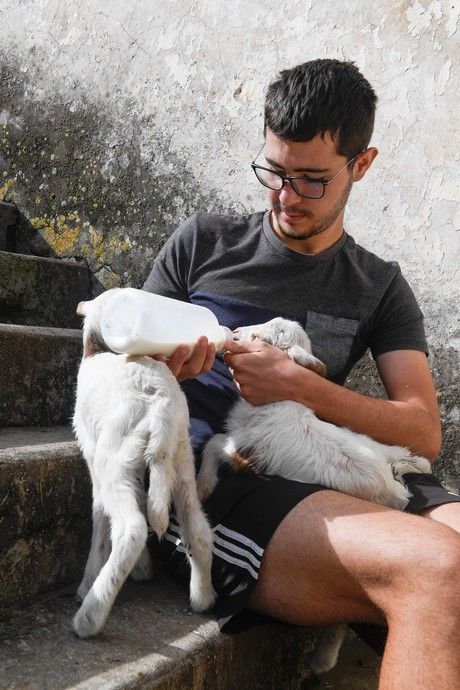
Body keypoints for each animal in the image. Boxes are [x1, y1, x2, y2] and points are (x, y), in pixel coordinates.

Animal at [72, 288, 216, 636]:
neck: (98, 350)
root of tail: (160, 402)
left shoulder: (93, 457)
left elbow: (99, 517)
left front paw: (88, 581)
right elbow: (139, 497)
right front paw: (144, 570)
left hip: (114, 459)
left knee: (132, 529)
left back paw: (89, 615)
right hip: (180, 459)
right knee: (198, 531)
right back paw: (203, 598)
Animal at [198, 318, 432, 672]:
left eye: (260, 336)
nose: (234, 333)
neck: (278, 403)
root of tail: (395, 486)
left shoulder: (246, 447)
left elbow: (213, 443)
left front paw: (204, 486)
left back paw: (321, 660)